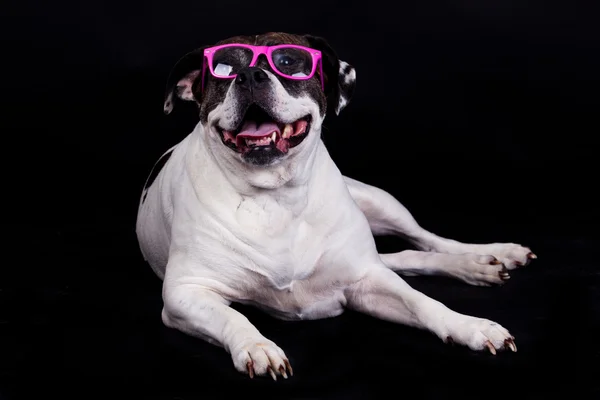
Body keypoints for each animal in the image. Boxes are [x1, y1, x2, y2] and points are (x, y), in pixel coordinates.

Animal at [137, 32, 540, 380]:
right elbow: (232, 317)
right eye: (224, 67)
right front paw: (256, 346)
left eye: (289, 61)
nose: (250, 75)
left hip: (382, 204)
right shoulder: (185, 294)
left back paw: (486, 257)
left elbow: (423, 303)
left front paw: (469, 326)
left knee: (426, 241)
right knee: (405, 257)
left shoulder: (367, 282)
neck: (276, 196)